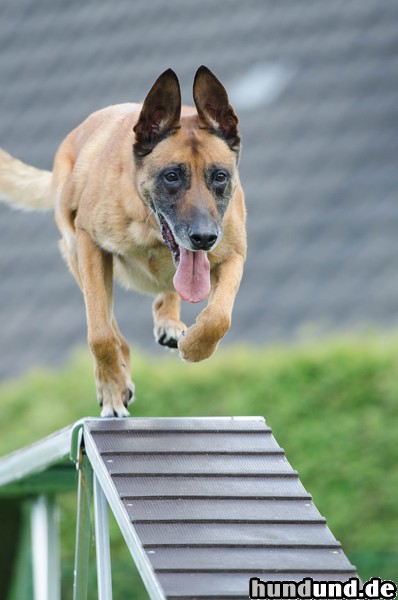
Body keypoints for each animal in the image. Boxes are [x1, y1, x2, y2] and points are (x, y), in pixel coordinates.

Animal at [0, 64, 246, 412]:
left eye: (220, 176)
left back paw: (169, 321)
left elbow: (218, 317)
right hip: (76, 255)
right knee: (111, 327)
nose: (204, 238)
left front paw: (194, 347)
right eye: (172, 176)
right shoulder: (89, 245)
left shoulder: (235, 255)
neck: (151, 231)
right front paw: (113, 388)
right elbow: (101, 334)